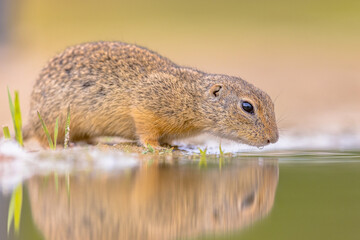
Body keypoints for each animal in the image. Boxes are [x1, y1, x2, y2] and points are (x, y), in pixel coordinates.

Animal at [24, 41, 278, 148]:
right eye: (247, 107)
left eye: (271, 102)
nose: (273, 139)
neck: (191, 97)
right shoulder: (145, 107)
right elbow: (146, 132)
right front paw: (156, 147)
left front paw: (174, 146)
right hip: (52, 119)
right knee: (41, 138)